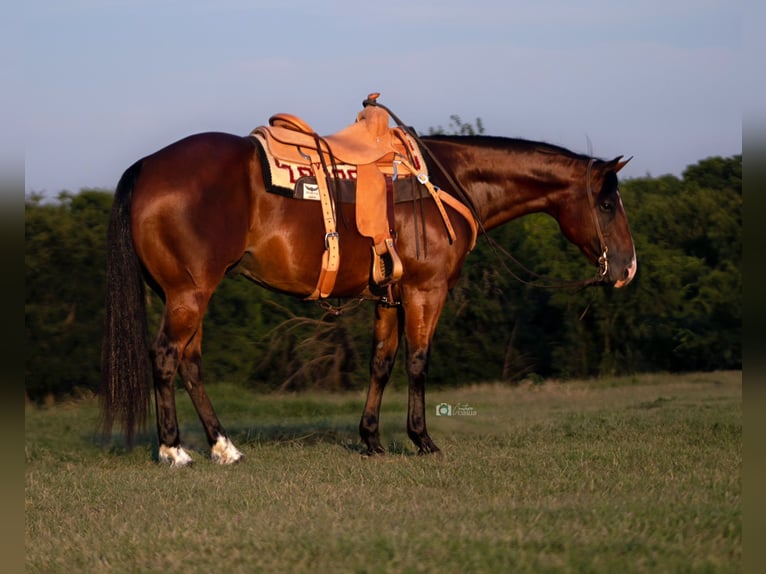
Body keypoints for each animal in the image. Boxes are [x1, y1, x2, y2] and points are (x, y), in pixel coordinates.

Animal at [103, 122, 640, 468]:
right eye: (607, 203)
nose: (627, 267)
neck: (446, 182)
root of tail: (147, 166)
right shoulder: (426, 290)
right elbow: (418, 362)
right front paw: (422, 440)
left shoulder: (390, 296)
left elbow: (381, 362)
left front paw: (372, 441)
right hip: (189, 294)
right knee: (167, 357)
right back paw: (174, 450)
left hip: (186, 295)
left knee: (190, 364)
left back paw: (223, 447)